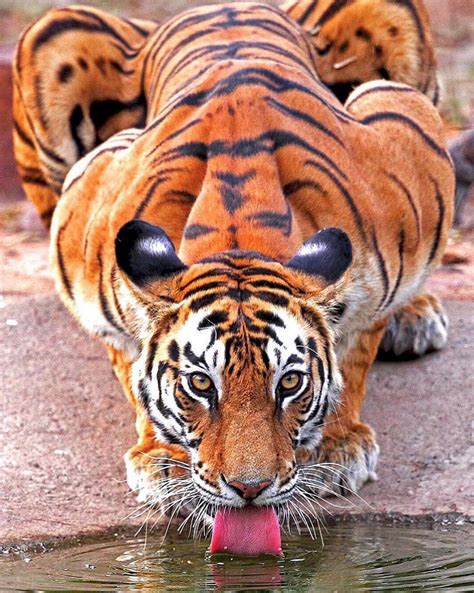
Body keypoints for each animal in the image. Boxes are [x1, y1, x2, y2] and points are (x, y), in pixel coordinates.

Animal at [12, 0, 454, 540]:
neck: (240, 237)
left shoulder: (406, 135)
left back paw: (414, 318)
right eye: (200, 385)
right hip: (50, 41)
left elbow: (357, 345)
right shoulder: (83, 222)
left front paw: (338, 446)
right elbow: (129, 360)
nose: (250, 489)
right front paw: (161, 461)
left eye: (290, 383)